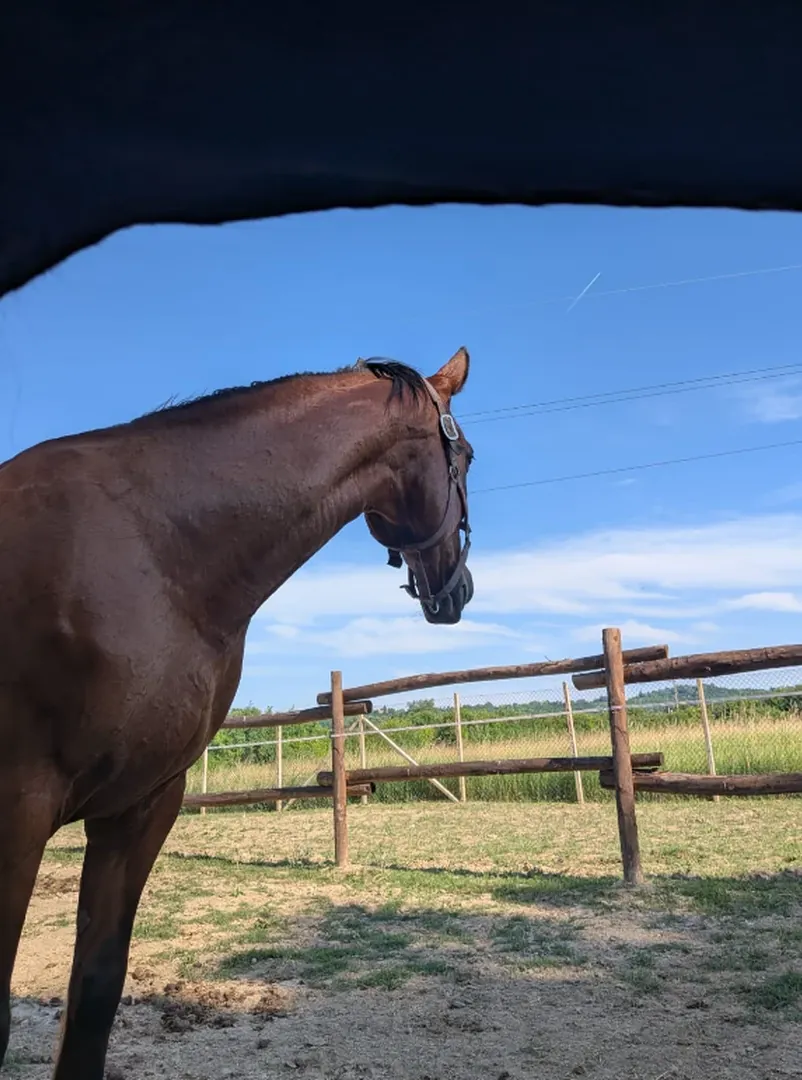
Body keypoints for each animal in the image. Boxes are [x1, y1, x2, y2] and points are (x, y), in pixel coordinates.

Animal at [0, 347, 473, 1079]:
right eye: (468, 457)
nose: (459, 588)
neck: (153, 550)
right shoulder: (18, 809)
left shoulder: (140, 807)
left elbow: (95, 991)